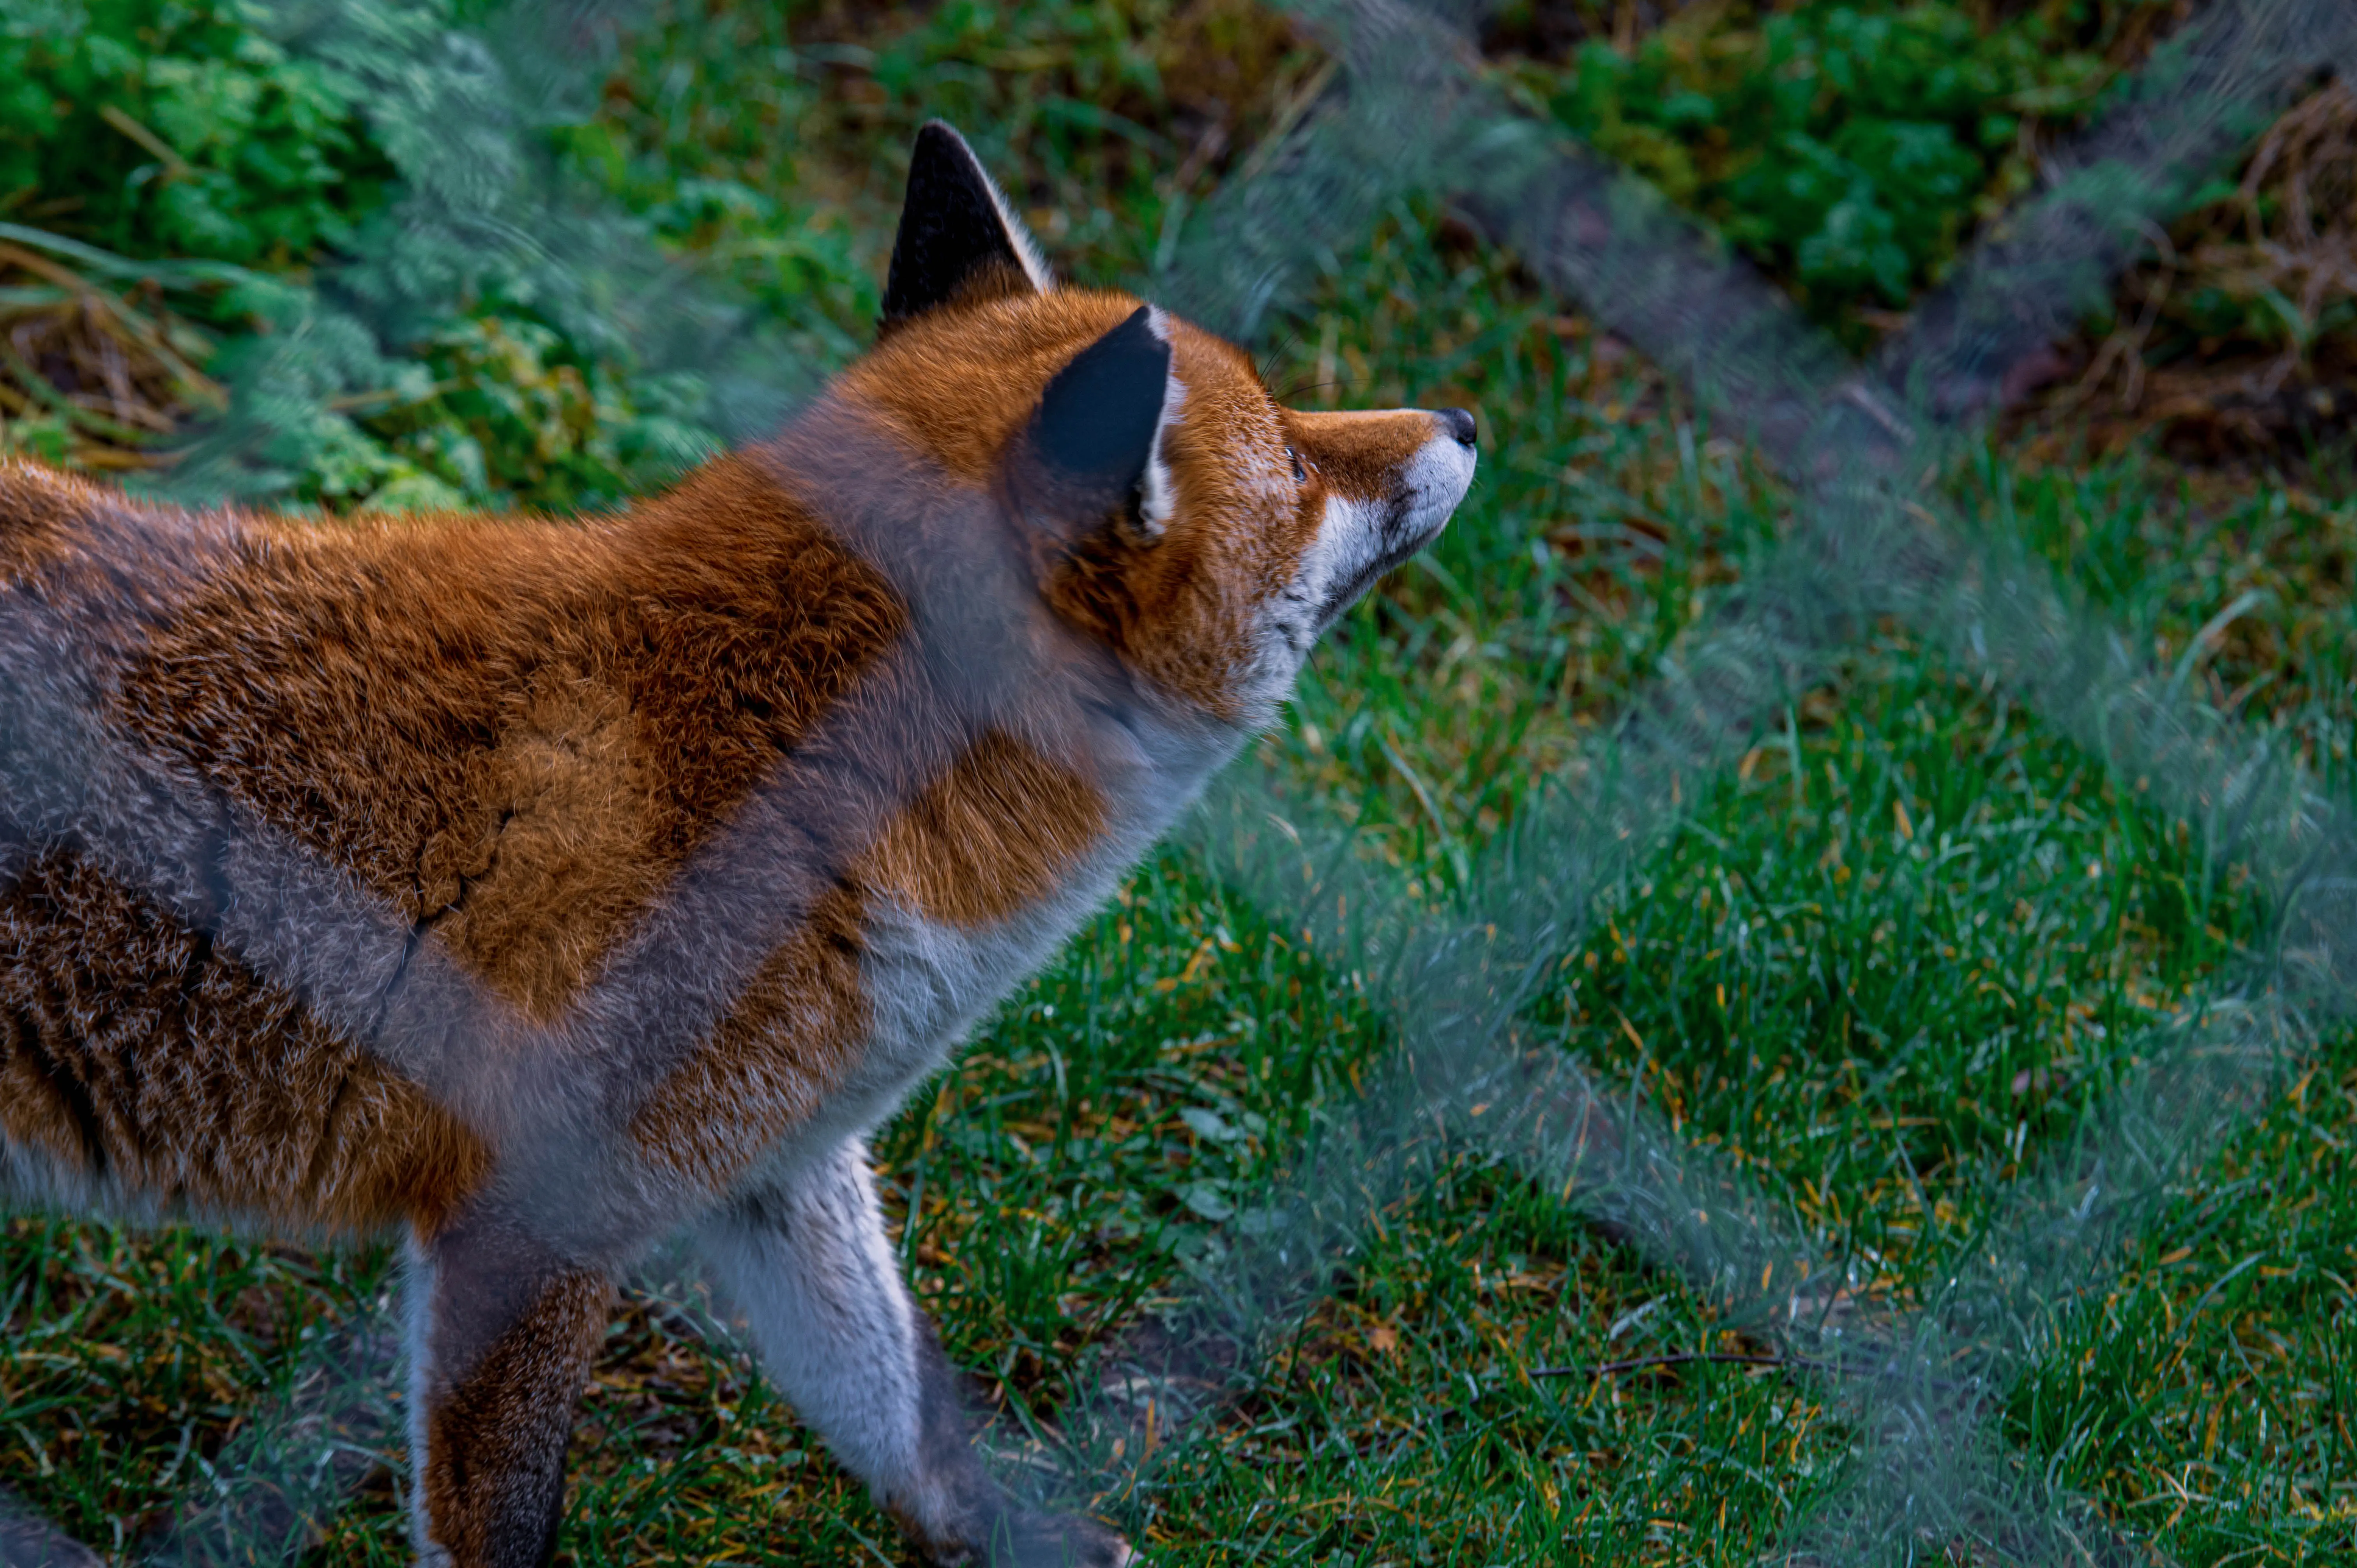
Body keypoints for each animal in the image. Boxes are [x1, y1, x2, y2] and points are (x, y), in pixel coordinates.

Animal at [0, 122, 1476, 1567]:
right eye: (1295, 461)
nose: (1464, 417)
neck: (798, 778)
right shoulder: (526, 1224)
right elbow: (512, 1522)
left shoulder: (779, 1163)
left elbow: (904, 1417)